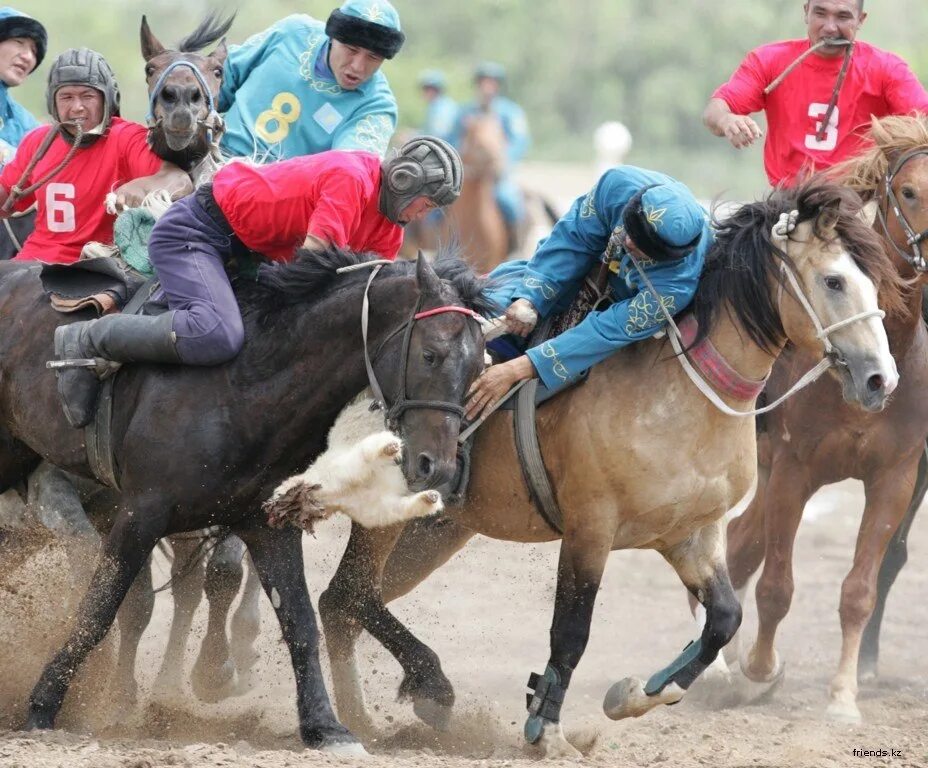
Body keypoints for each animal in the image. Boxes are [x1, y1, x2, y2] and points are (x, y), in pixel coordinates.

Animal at [0, 249, 492, 752]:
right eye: (431, 355)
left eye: (478, 368)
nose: (440, 467)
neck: (242, 386)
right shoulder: (139, 513)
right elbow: (100, 608)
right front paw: (44, 703)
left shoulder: (265, 524)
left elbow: (298, 620)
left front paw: (325, 725)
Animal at [316, 178, 904, 756]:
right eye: (833, 281)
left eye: (873, 282)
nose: (880, 379)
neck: (686, 395)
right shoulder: (590, 531)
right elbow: (571, 631)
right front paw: (546, 729)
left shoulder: (692, 534)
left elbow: (724, 619)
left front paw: (637, 692)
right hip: (389, 521)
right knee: (349, 595)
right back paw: (403, 700)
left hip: (435, 532)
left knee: (343, 603)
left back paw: (363, 719)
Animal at [716, 112, 928, 720]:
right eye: (909, 191)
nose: (878, 381)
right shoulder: (793, 469)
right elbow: (776, 587)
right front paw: (759, 670)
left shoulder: (897, 477)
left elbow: (861, 587)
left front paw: (843, 697)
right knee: (742, 543)